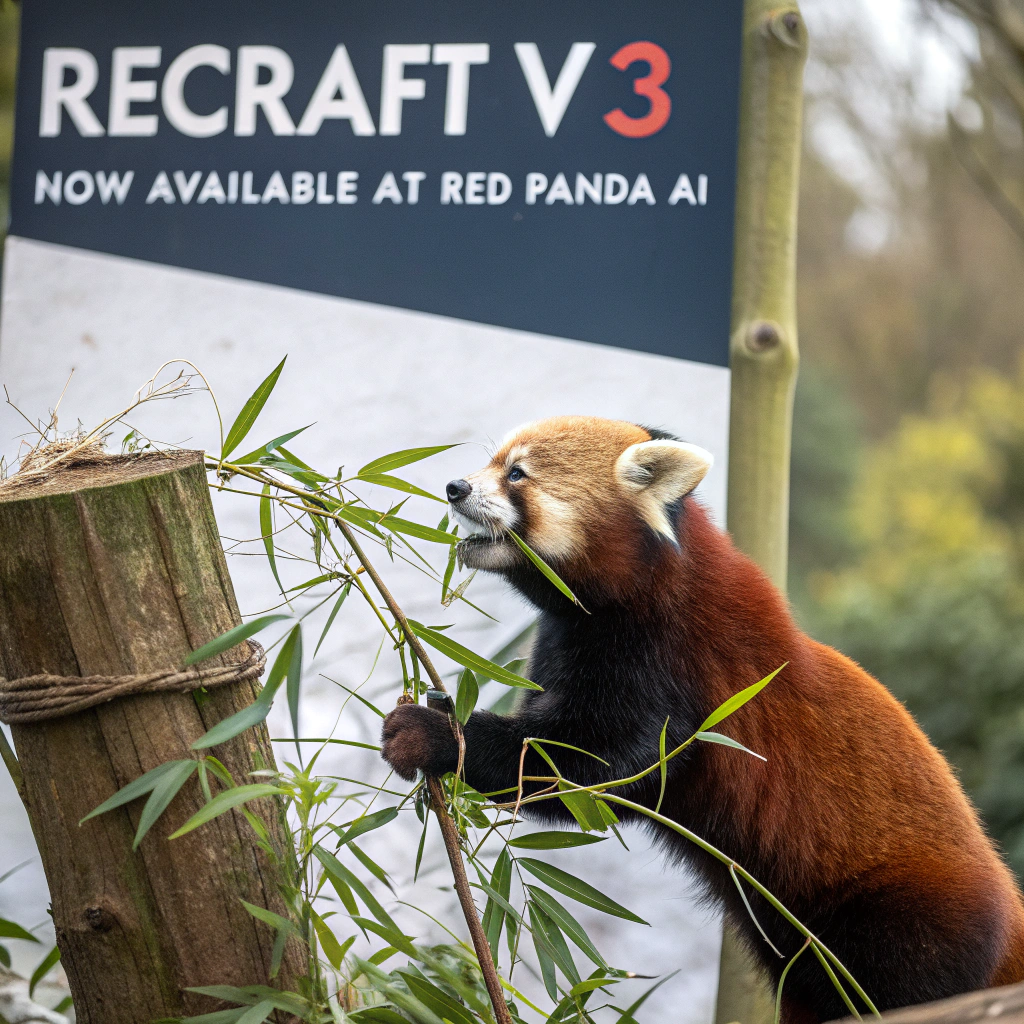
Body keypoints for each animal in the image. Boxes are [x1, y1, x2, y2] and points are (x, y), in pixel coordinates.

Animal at [381, 415, 1024, 1022]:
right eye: (492, 463)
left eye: (517, 474)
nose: (456, 486)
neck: (634, 594)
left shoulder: (673, 665)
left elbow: (589, 769)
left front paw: (431, 734)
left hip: (902, 919)